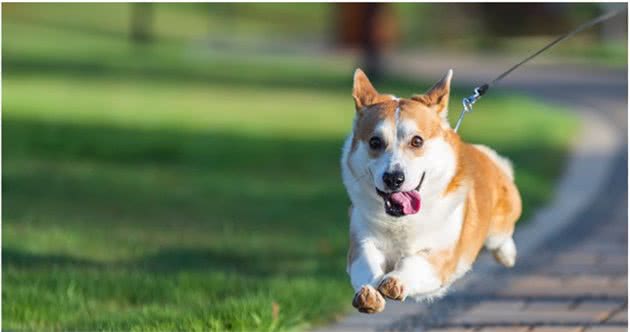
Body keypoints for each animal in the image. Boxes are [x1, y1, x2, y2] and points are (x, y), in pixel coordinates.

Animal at [340, 68, 524, 312]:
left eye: (417, 141)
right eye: (375, 142)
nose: (393, 178)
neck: (401, 221)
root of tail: (486, 156)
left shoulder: (440, 256)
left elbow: (414, 262)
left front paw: (395, 281)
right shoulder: (362, 243)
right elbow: (367, 265)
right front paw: (369, 294)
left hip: (498, 227)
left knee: (502, 237)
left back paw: (507, 255)